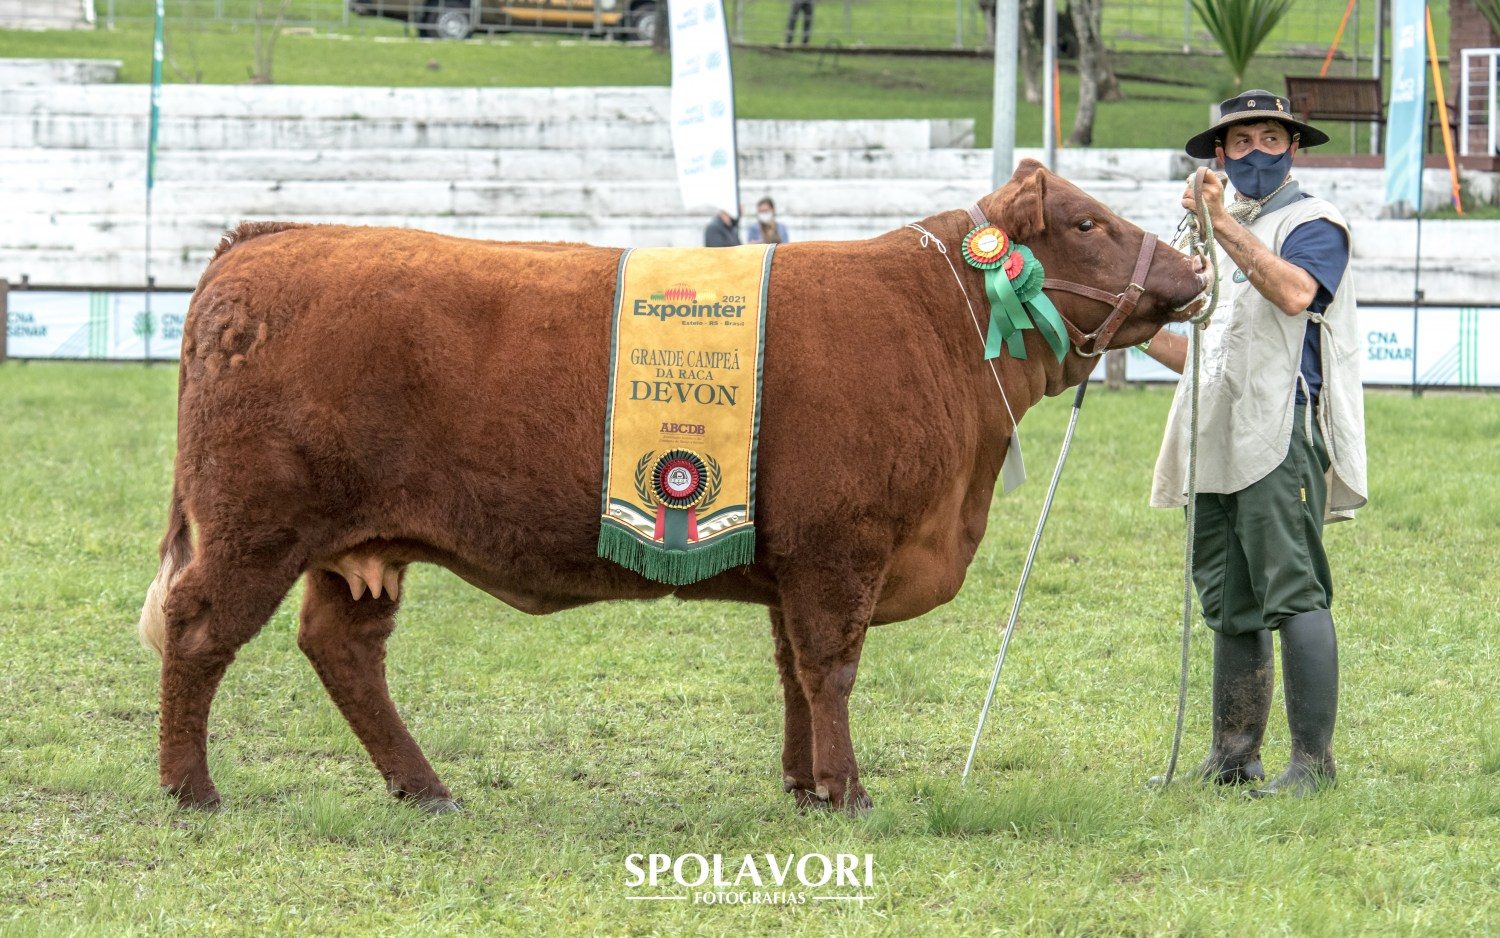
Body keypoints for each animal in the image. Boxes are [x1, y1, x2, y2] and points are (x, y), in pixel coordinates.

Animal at [138, 159, 1206, 810]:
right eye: (1087, 220)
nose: (1194, 272)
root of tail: (263, 240)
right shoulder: (842, 548)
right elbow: (834, 668)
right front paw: (850, 793)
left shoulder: (795, 561)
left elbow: (794, 671)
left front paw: (804, 787)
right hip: (255, 524)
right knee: (197, 629)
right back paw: (192, 792)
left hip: (358, 548)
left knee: (343, 649)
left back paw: (425, 788)